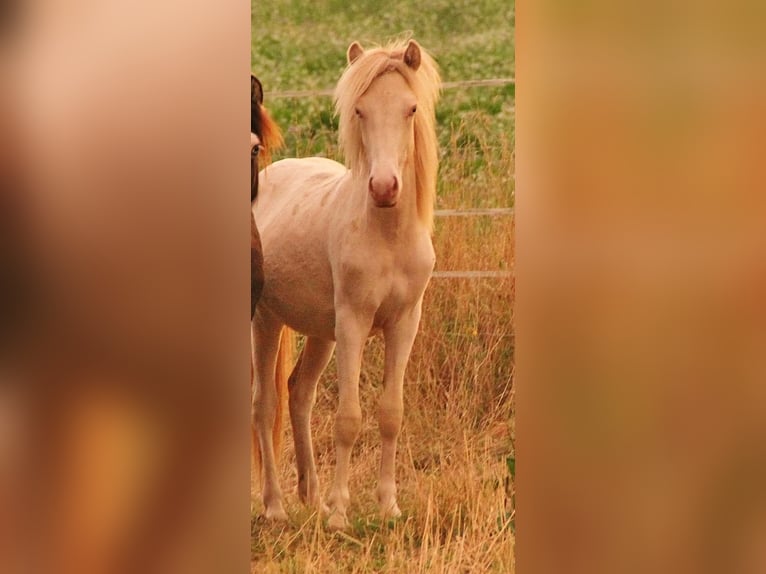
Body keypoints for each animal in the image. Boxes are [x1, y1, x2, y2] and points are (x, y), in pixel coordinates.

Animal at [253, 39, 441, 529]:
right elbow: (348, 417)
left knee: (299, 395)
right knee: (265, 405)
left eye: (411, 108)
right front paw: (340, 513)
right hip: (267, 322)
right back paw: (276, 506)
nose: (384, 187)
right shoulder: (354, 322)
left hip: (321, 333)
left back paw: (312, 499)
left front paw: (388, 505)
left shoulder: (404, 324)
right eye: (360, 110)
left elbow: (390, 413)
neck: (387, 235)